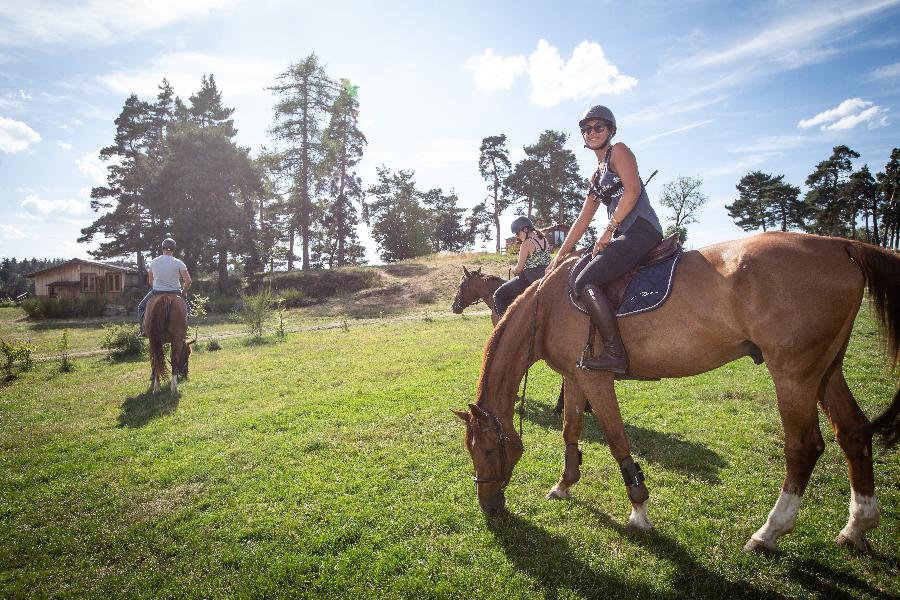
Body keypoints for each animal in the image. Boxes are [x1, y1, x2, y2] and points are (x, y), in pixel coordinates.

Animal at [452, 232, 900, 553]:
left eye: (488, 450)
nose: (488, 507)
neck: (545, 306)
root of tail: (839, 244)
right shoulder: (576, 379)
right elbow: (570, 430)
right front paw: (565, 483)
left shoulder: (596, 380)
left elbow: (617, 441)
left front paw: (639, 511)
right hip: (827, 370)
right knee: (853, 432)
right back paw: (857, 525)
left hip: (795, 373)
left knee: (804, 447)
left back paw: (769, 532)